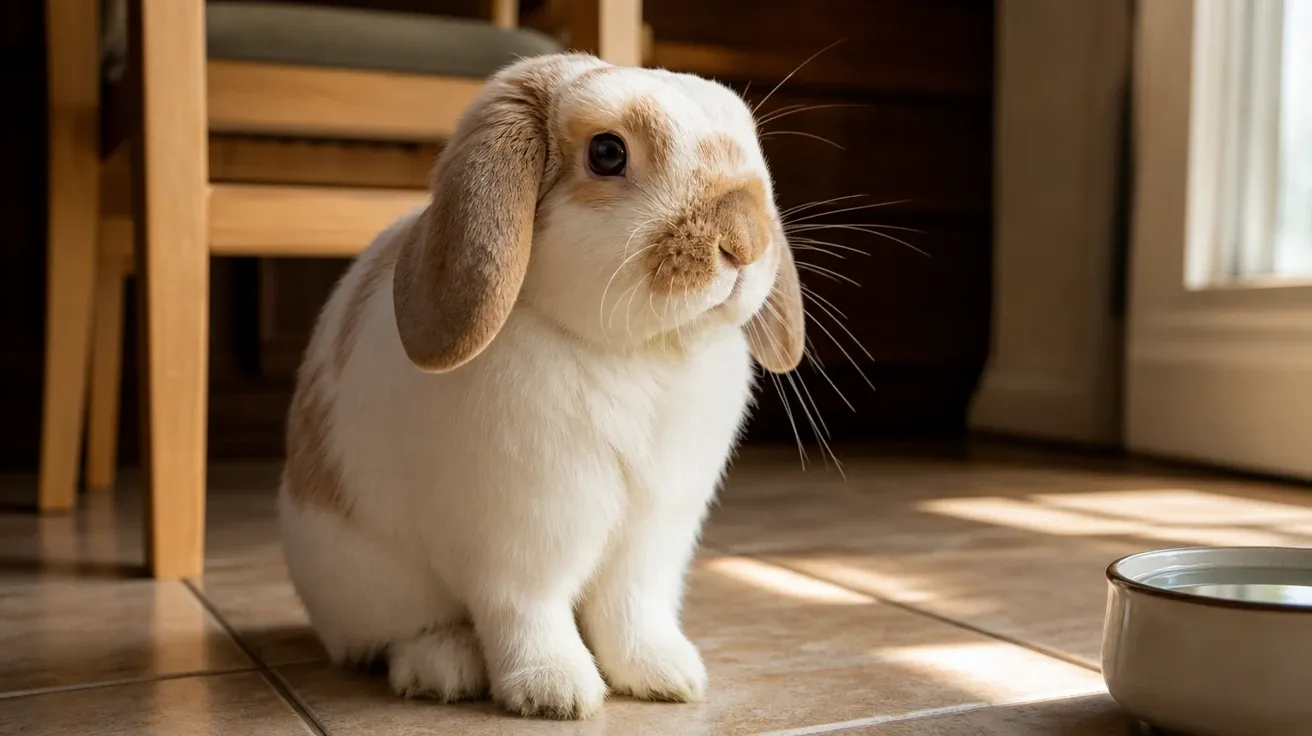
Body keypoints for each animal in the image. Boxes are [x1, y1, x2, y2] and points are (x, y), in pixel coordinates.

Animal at [278, 51, 805, 720]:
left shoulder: (653, 538)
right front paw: (555, 691)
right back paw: (443, 669)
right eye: (607, 152)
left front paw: (666, 675)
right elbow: (527, 613)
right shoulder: (523, 537)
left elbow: (632, 609)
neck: (638, 355)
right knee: (406, 633)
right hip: (370, 585)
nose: (744, 241)